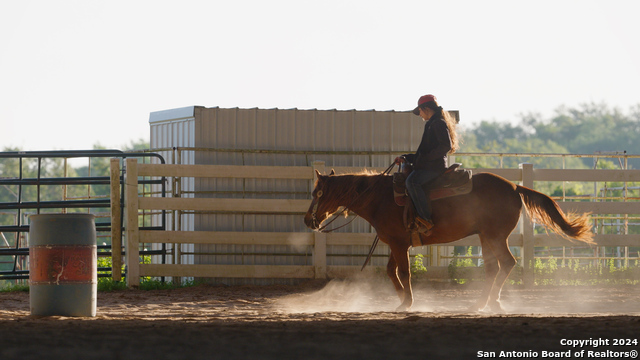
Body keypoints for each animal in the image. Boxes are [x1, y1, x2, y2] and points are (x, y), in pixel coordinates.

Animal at [304, 169, 596, 312]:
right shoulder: (397, 244)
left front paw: (408, 302)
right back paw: (485, 303)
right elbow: (391, 271)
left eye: (317, 193)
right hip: (486, 237)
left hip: (495, 236)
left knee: (506, 263)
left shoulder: (399, 244)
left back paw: (490, 303)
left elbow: (404, 272)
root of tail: (515, 187)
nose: (308, 220)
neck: (379, 197)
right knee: (494, 267)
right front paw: (401, 300)